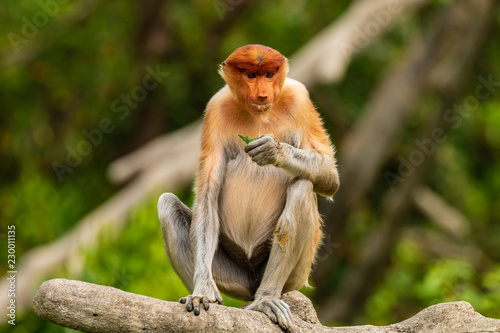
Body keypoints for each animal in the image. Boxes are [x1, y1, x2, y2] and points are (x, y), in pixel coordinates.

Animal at [159, 44, 340, 330]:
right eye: (251, 76)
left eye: (269, 75)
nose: (263, 94)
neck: (260, 114)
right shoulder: (215, 109)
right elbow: (208, 197)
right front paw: (202, 292)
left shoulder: (300, 98)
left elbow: (330, 174)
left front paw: (273, 150)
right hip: (235, 277)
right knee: (167, 203)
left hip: (297, 276)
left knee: (302, 187)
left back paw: (265, 300)